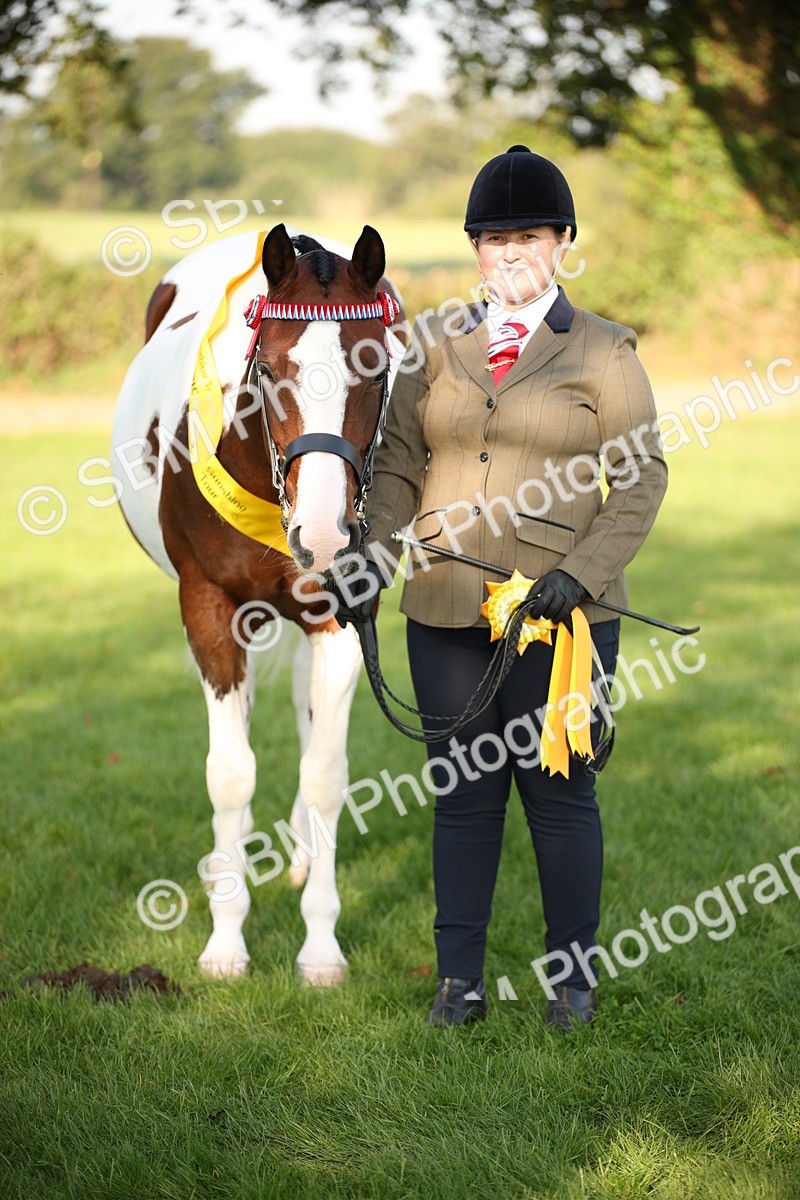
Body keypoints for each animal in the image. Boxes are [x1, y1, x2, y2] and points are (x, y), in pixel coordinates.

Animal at [111, 223, 404, 984]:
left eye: (376, 370)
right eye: (268, 371)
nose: (325, 535)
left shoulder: (338, 617)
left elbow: (325, 773)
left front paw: (321, 947)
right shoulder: (207, 607)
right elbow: (230, 775)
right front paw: (225, 941)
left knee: (304, 716)